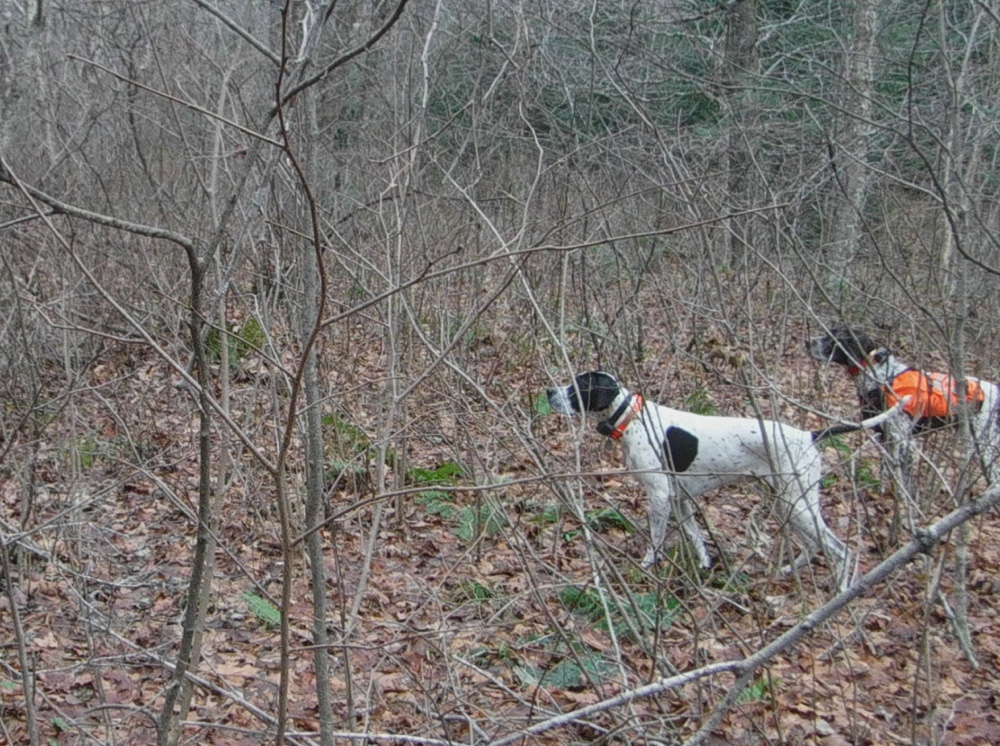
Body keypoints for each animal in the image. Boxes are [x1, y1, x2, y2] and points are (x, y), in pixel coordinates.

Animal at [552, 370, 904, 588]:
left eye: (579, 386)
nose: (548, 391)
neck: (632, 418)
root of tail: (809, 435)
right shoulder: (680, 500)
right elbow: (696, 538)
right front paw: (705, 566)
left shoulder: (660, 497)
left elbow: (656, 539)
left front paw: (647, 565)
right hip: (786, 503)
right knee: (813, 544)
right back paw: (787, 570)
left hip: (798, 503)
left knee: (839, 549)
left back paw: (841, 590)